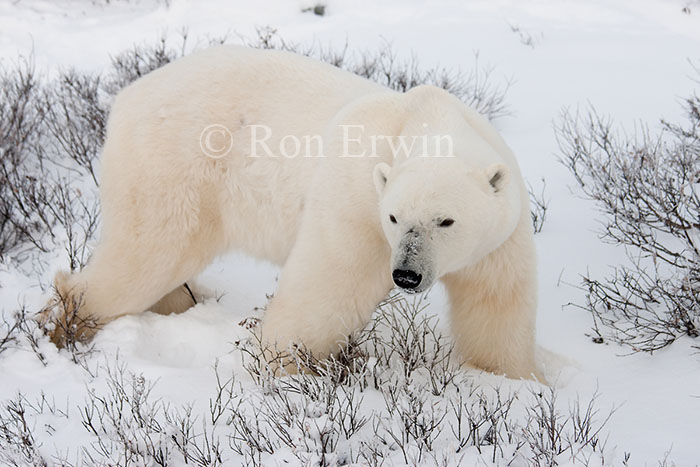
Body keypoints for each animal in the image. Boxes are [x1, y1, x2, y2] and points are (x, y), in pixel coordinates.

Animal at [47, 45, 543, 381]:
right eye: (395, 218)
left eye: (446, 220)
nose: (406, 274)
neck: (424, 118)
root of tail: (125, 98)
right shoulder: (357, 201)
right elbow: (328, 290)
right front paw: (280, 366)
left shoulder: (503, 231)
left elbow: (496, 306)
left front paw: (507, 378)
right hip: (172, 166)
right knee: (146, 256)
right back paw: (66, 324)